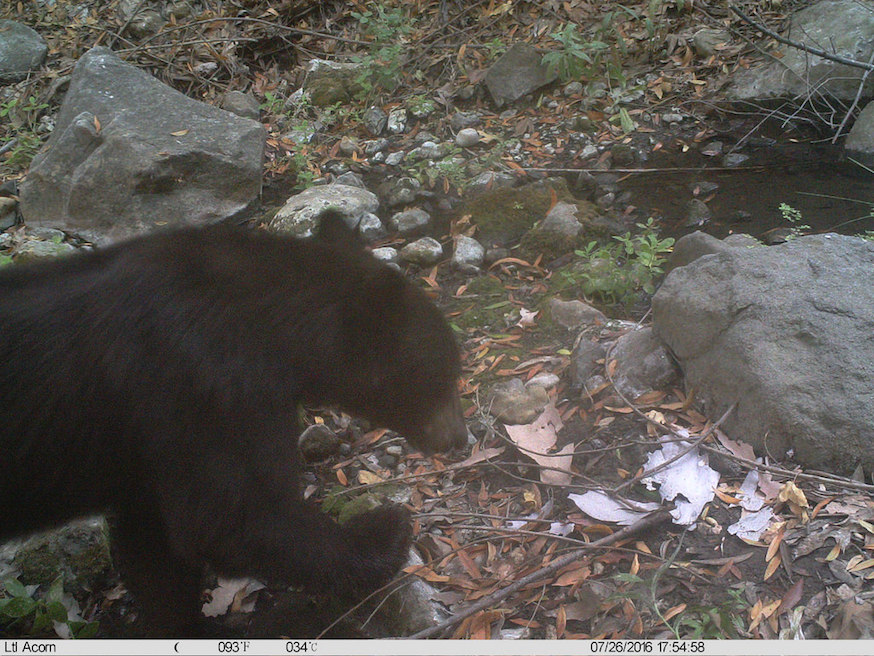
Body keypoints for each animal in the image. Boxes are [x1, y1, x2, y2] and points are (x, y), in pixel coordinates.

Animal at [0, 214, 466, 636]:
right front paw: (385, 532)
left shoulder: (147, 454)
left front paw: (181, 623)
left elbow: (155, 545)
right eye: (444, 374)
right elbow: (233, 518)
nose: (460, 438)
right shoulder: (206, 389)